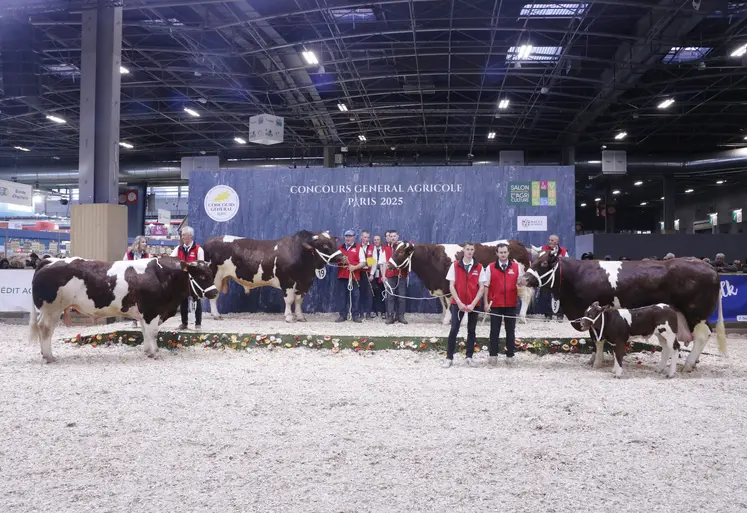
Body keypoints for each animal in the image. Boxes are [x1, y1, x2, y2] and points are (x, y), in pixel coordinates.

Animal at [30, 255, 218, 360]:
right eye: (201, 276)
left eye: (211, 274)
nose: (215, 292)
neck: (162, 275)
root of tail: (50, 261)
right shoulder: (152, 312)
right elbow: (152, 333)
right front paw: (156, 353)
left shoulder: (144, 313)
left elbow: (144, 332)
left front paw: (148, 351)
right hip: (53, 309)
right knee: (45, 329)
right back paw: (49, 356)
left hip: (48, 310)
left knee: (41, 328)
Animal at [388, 240, 536, 324]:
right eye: (394, 250)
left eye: (400, 252)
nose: (389, 265)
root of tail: (517, 243)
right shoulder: (440, 286)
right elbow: (443, 303)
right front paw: (445, 317)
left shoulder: (447, 286)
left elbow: (448, 303)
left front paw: (447, 320)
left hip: (520, 281)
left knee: (526, 296)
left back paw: (522, 317)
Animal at [520, 249, 724, 372]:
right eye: (534, 261)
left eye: (544, 264)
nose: (522, 279)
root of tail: (709, 267)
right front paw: (594, 358)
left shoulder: (594, 313)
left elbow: (597, 339)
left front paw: (597, 361)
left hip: (696, 313)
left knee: (703, 335)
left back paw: (688, 364)